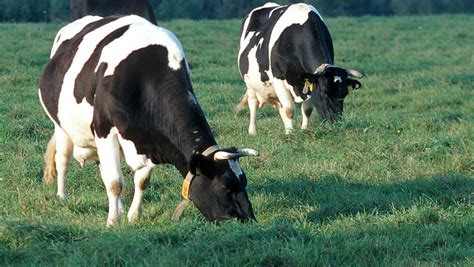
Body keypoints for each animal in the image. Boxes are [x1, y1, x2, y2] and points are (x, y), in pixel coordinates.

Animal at [39, 15, 258, 228]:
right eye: (224, 185)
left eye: (244, 181)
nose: (248, 220)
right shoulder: (104, 129)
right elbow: (115, 182)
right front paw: (112, 223)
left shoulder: (150, 138)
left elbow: (142, 180)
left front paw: (133, 216)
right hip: (61, 127)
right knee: (63, 160)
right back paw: (62, 197)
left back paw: (118, 207)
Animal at [237, 2, 362, 135]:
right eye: (324, 93)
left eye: (344, 94)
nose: (336, 123)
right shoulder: (278, 79)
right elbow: (289, 110)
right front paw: (290, 134)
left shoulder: (307, 82)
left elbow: (307, 109)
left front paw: (303, 129)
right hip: (250, 83)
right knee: (253, 103)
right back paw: (253, 131)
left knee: (279, 105)